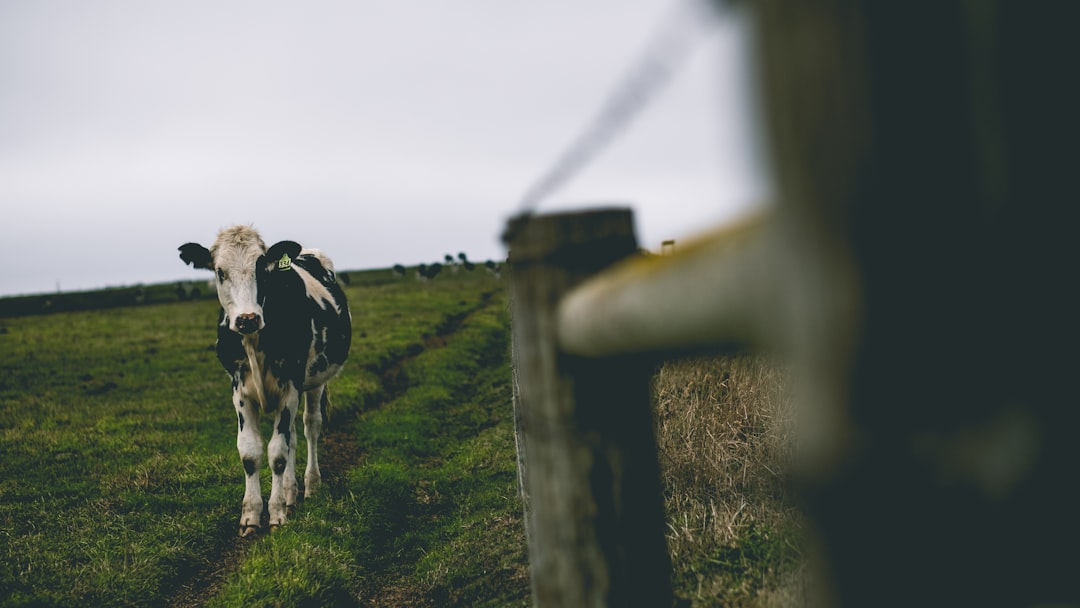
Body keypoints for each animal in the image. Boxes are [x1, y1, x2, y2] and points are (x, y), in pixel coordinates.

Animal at [178, 225, 349, 535]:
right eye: (219, 271)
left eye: (262, 268)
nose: (247, 318)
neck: (254, 339)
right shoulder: (240, 392)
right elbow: (250, 452)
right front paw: (251, 515)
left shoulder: (291, 387)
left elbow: (277, 453)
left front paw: (277, 513)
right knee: (293, 435)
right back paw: (291, 493)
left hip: (315, 382)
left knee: (310, 427)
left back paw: (311, 485)